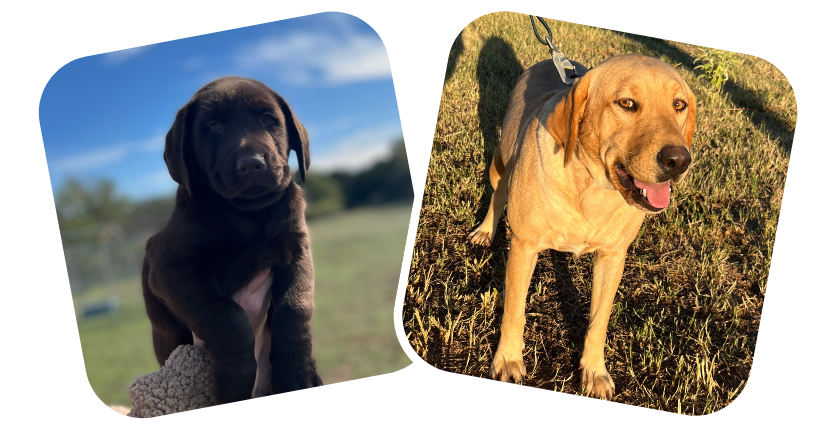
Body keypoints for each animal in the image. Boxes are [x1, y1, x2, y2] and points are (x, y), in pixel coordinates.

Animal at [470, 54, 700, 400]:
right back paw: (485, 230)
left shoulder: (613, 257)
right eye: (627, 103)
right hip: (500, 163)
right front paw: (508, 359)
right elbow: (514, 311)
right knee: (498, 195)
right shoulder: (524, 246)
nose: (679, 161)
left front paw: (594, 372)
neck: (591, 190)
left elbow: (598, 322)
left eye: (679, 104)